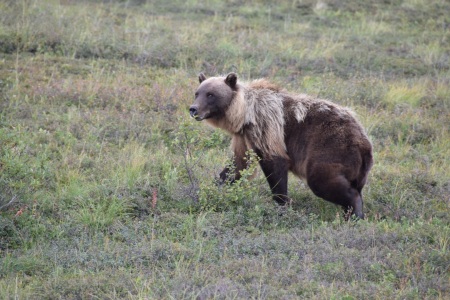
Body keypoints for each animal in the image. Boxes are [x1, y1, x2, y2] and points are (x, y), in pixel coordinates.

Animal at [189, 72, 372, 218]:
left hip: (331, 147)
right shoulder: (243, 137)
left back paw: (355, 213)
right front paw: (213, 187)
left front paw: (282, 203)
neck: (243, 115)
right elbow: (237, 165)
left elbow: (274, 165)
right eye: (197, 93)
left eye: (210, 94)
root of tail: (364, 143)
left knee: (322, 180)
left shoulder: (266, 126)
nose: (193, 109)